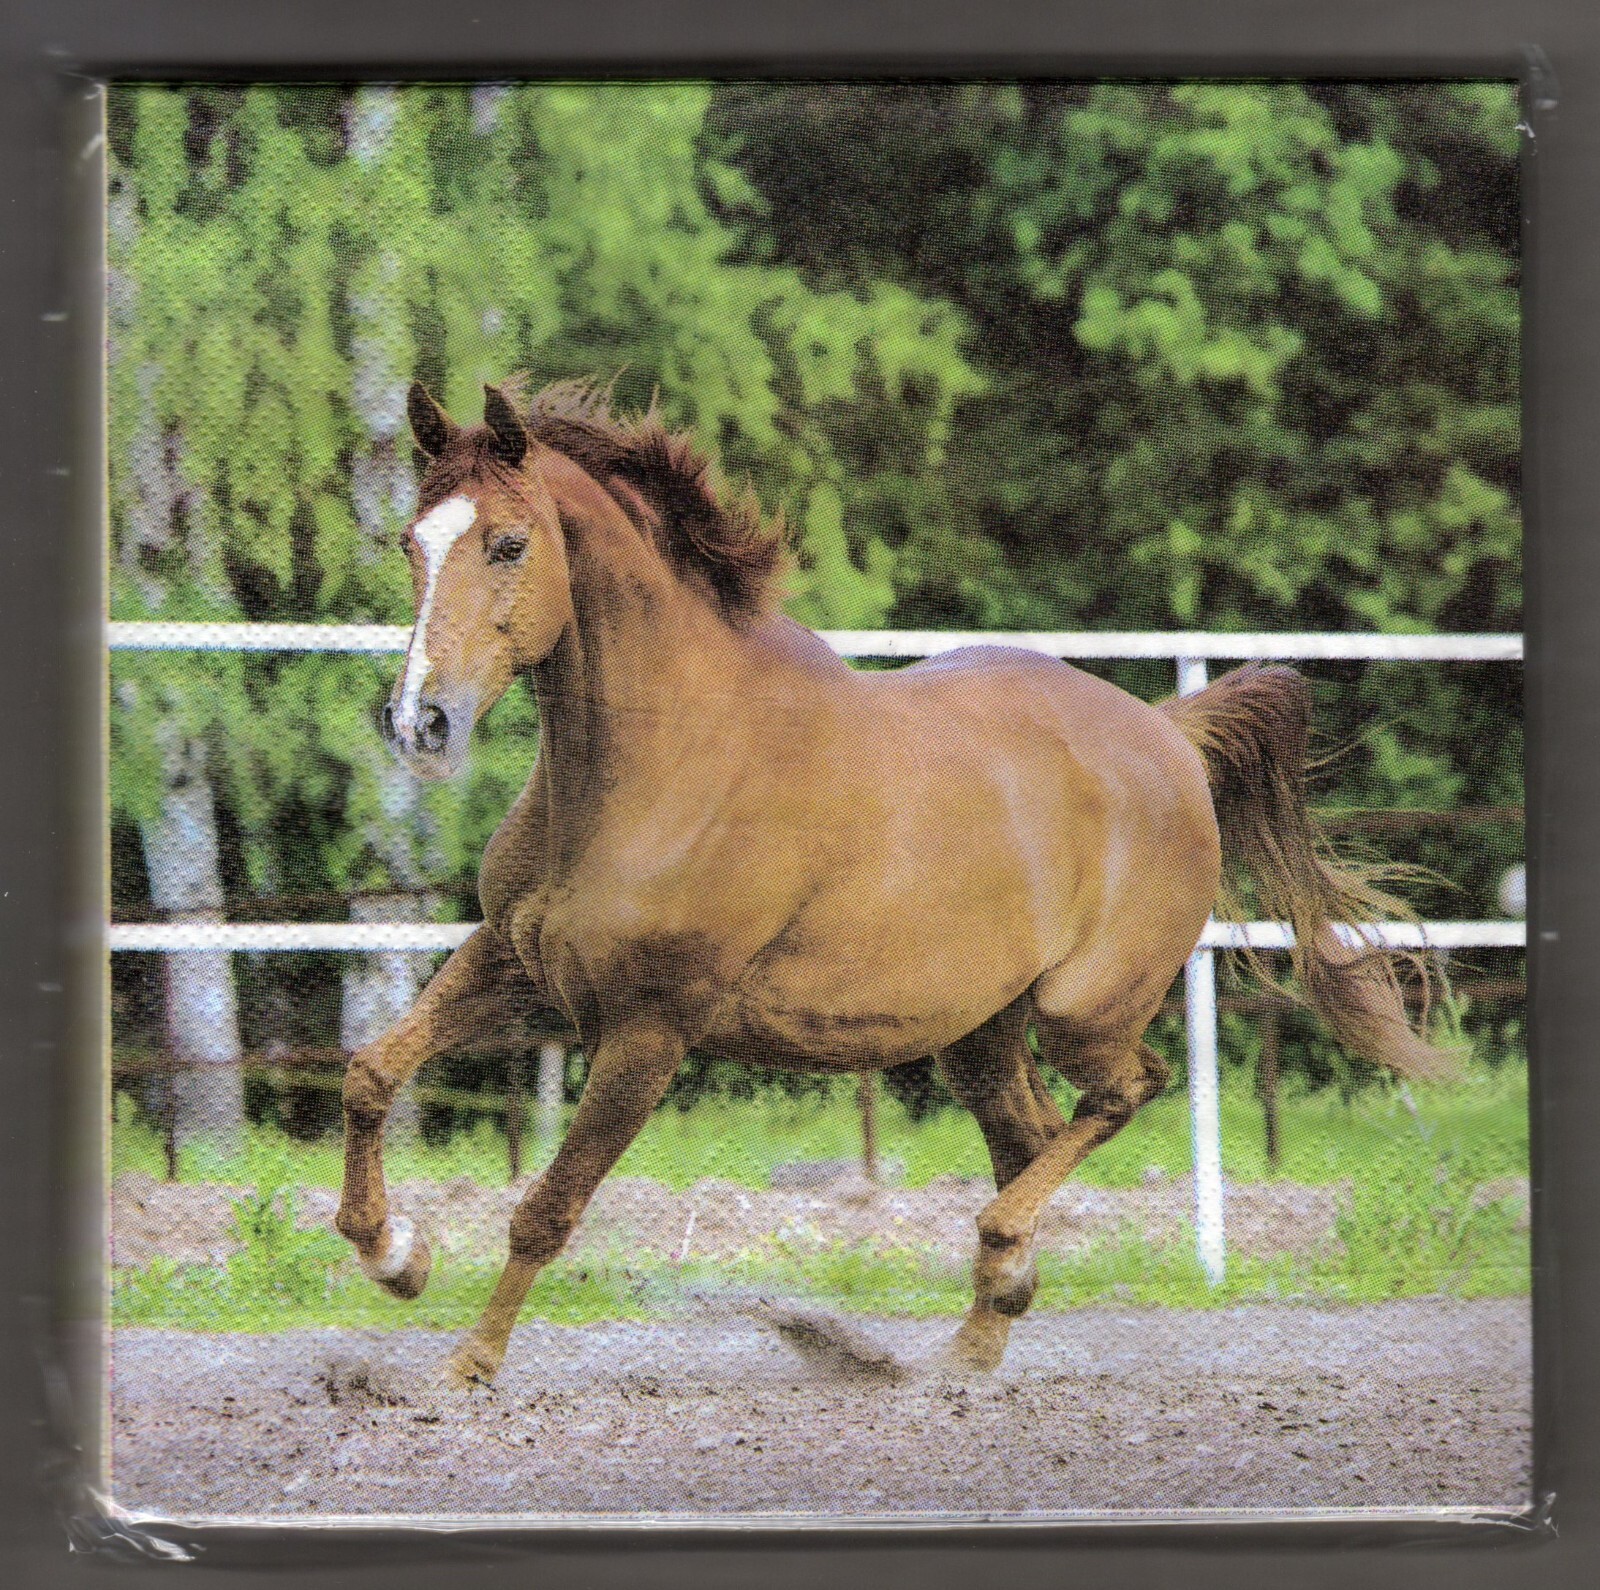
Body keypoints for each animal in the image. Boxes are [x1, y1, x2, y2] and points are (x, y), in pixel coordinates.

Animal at [334, 377, 1452, 1389]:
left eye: (508, 545)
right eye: (410, 544)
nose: (421, 722)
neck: (656, 766)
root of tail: (1169, 736)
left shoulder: (650, 1028)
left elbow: (547, 1208)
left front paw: (468, 1364)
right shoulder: (514, 964)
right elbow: (372, 1072)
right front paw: (396, 1256)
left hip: (1083, 1009)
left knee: (1124, 1090)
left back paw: (995, 1261)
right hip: (980, 1031)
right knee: (1029, 1132)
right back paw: (977, 1335)